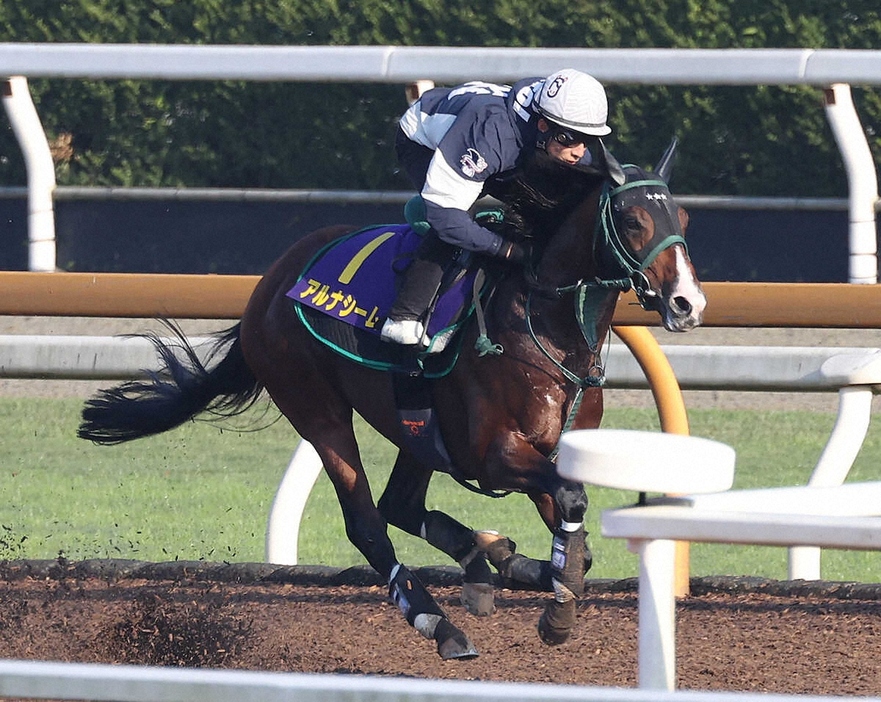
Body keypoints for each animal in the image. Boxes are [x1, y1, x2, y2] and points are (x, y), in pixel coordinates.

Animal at [79, 142, 704, 660]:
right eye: (633, 219)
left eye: (683, 219)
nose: (687, 302)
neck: (543, 326)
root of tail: (272, 283)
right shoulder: (492, 454)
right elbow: (570, 503)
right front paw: (555, 609)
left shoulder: (546, 450)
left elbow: (576, 535)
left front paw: (541, 578)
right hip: (318, 409)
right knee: (367, 522)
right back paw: (439, 621)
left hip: (415, 428)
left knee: (400, 503)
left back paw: (490, 562)